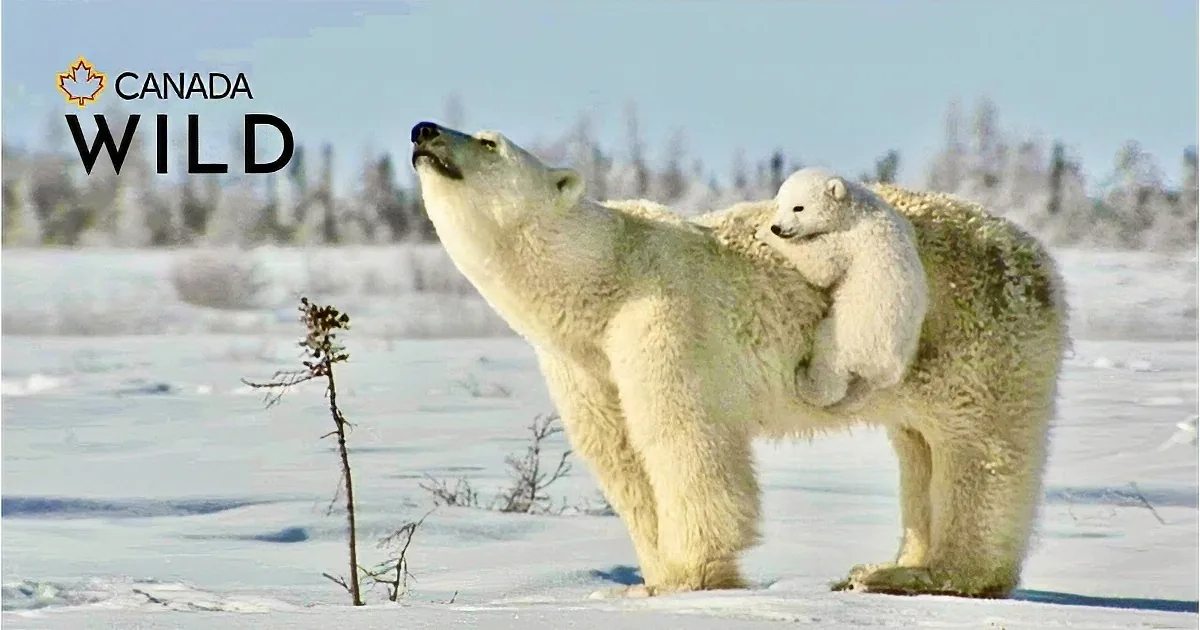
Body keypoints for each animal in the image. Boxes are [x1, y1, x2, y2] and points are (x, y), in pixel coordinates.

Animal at [756, 166, 929, 409]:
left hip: (850, 335)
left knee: (829, 361)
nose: (777, 228)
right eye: (780, 204)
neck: (858, 211)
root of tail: (887, 369)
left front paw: (763, 232)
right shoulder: (895, 216)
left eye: (798, 207)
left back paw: (804, 380)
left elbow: (821, 265)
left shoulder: (850, 238)